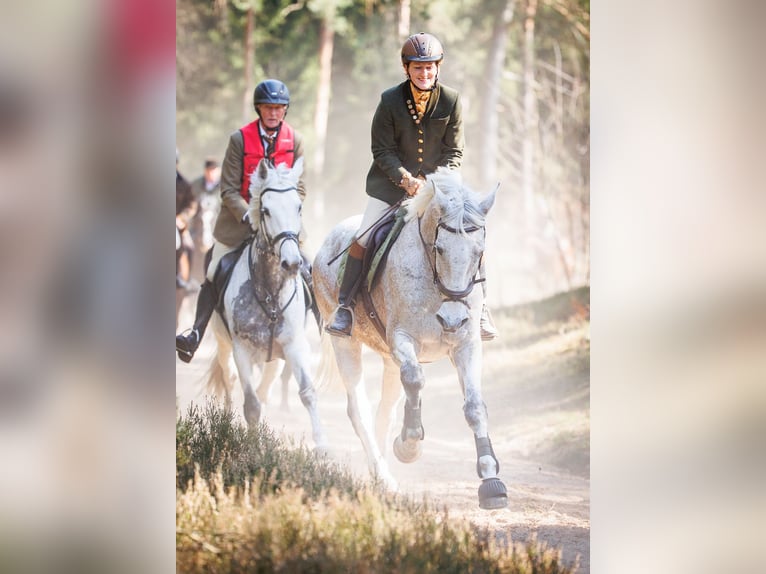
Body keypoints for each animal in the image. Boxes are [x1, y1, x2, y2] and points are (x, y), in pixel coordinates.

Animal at [206, 160, 326, 452]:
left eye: (299, 207)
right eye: (266, 210)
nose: (292, 263)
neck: (270, 289)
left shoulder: (293, 345)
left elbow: (306, 392)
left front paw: (321, 445)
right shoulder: (241, 349)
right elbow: (251, 404)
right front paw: (252, 445)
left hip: (275, 356)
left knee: (267, 384)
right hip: (223, 344)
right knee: (229, 380)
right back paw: (225, 422)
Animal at [314, 169, 510, 510]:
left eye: (479, 252)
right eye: (439, 248)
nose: (452, 319)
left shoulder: (466, 345)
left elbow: (474, 407)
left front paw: (490, 481)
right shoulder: (403, 339)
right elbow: (416, 380)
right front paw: (409, 445)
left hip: (388, 358)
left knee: (385, 410)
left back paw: (378, 474)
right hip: (346, 343)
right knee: (360, 410)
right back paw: (383, 476)